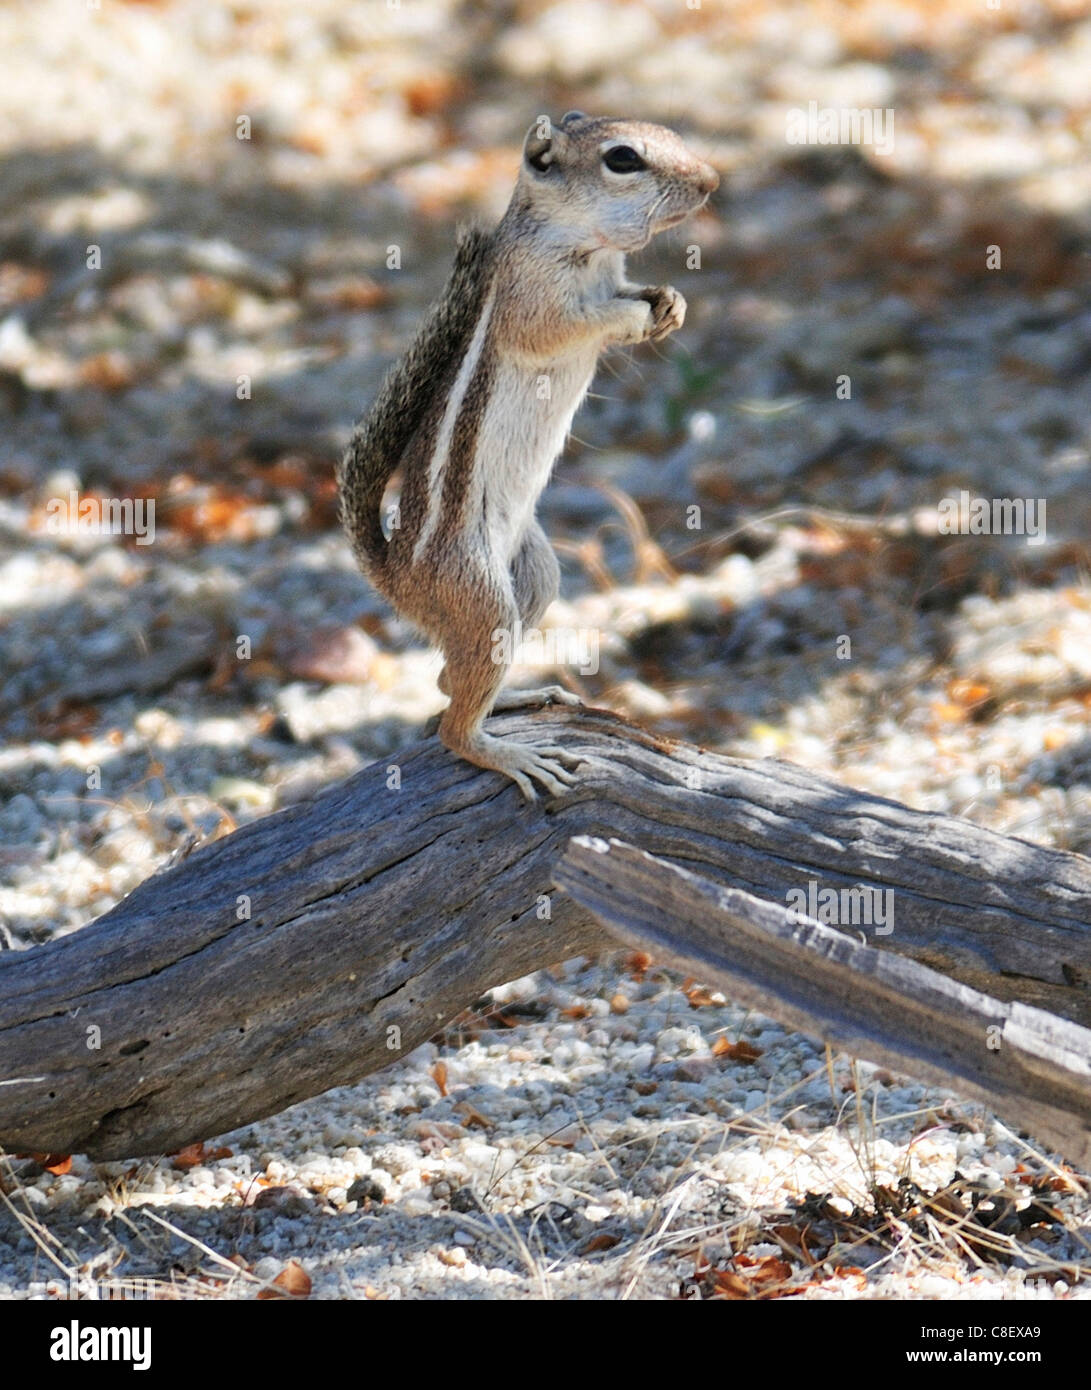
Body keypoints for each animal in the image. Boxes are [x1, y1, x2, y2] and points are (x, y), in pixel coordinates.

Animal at [337, 112, 717, 800]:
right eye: (623, 158)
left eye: (673, 133)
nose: (711, 181)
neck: (592, 247)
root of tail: (397, 580)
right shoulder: (530, 296)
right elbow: (564, 326)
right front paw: (630, 317)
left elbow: (636, 292)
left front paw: (670, 301)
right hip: (480, 592)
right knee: (450, 728)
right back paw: (508, 753)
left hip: (536, 575)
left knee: (449, 681)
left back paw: (518, 698)